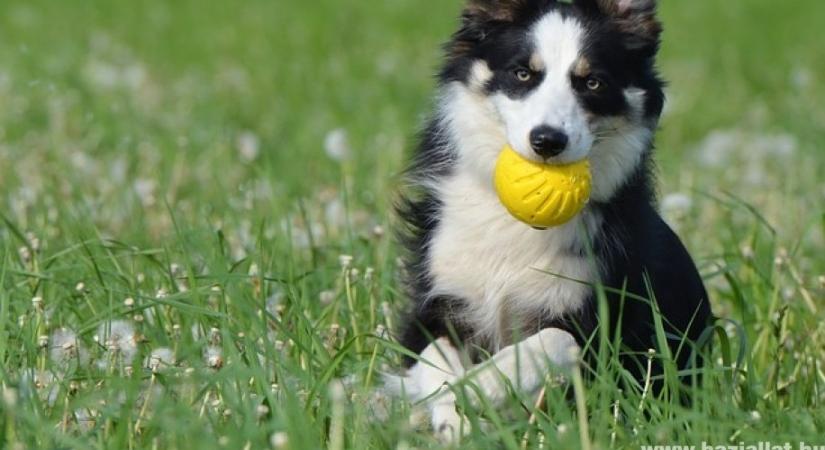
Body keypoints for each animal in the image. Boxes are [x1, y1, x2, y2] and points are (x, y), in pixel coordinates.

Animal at [392, 0, 708, 442]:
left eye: (592, 82)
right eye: (523, 74)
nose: (547, 141)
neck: (513, 223)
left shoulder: (603, 327)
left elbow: (553, 340)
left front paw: (484, 384)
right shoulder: (436, 301)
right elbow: (432, 356)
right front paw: (452, 413)